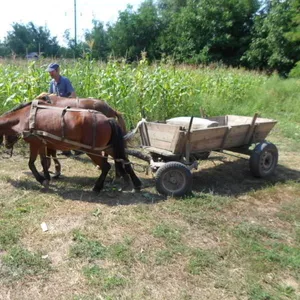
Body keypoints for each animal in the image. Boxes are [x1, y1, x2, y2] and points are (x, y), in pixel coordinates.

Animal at [0, 99, 142, 191]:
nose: (6, 144)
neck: (25, 116)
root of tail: (108, 119)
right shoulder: (41, 143)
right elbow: (44, 162)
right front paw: (47, 177)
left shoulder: (34, 143)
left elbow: (31, 163)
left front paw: (41, 179)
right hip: (109, 147)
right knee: (124, 160)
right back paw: (136, 183)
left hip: (94, 151)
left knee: (106, 166)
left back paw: (97, 187)